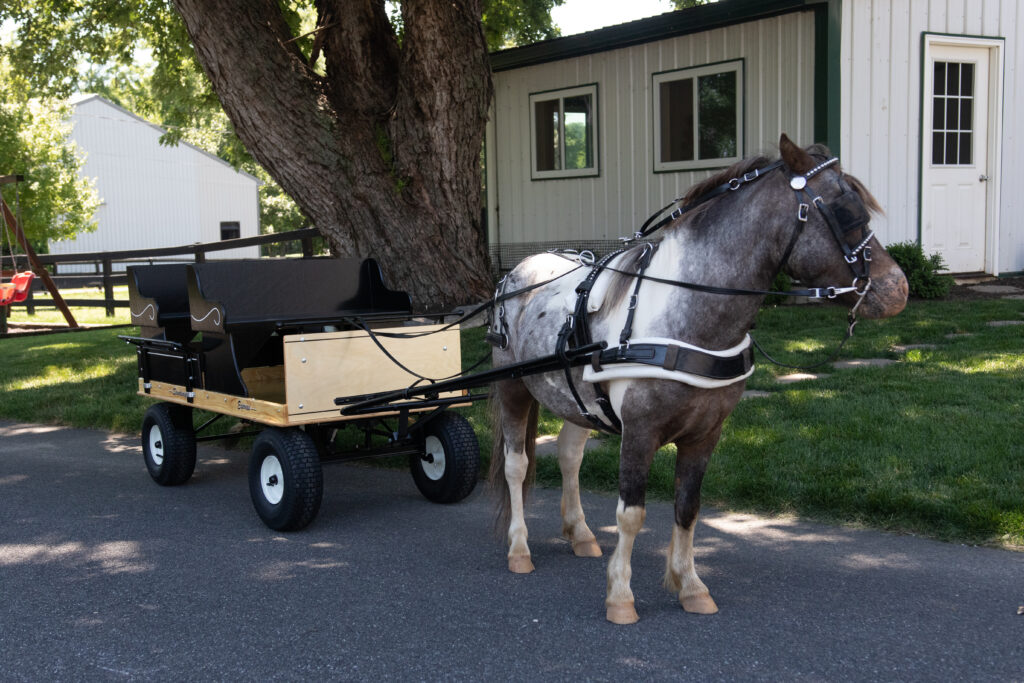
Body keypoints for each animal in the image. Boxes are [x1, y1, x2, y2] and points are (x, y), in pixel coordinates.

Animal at [489, 133, 913, 626]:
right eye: (845, 211)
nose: (898, 288)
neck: (685, 316)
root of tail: (514, 276)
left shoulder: (706, 433)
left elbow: (688, 508)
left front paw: (690, 586)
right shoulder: (639, 432)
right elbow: (631, 514)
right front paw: (621, 596)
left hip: (576, 400)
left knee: (570, 455)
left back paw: (580, 534)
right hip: (513, 388)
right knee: (517, 465)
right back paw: (519, 549)